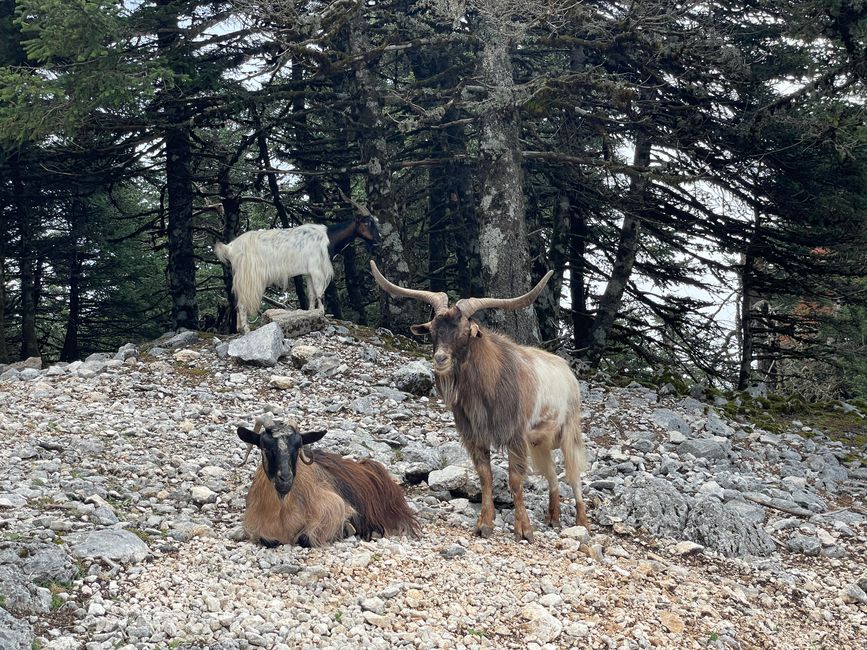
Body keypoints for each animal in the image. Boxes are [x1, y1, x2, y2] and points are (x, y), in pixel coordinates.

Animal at [214, 215, 380, 332]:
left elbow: (311, 295)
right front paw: (322, 314)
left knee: (235, 300)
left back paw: (239, 328)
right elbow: (320, 294)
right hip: (248, 277)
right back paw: (246, 329)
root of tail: (230, 247)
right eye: (367, 223)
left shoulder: (309, 273)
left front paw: (312, 315)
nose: (378, 240)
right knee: (242, 302)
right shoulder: (317, 269)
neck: (327, 238)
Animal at [370, 260, 588, 540]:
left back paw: (582, 522)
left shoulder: (515, 436)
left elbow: (515, 480)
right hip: (540, 442)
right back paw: (554, 518)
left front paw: (524, 530)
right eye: (432, 330)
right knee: (551, 474)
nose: (440, 359)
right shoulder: (475, 436)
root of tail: (568, 372)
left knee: (573, 474)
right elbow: (485, 476)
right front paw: (484, 524)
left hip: (569, 431)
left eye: (465, 332)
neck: (488, 387)